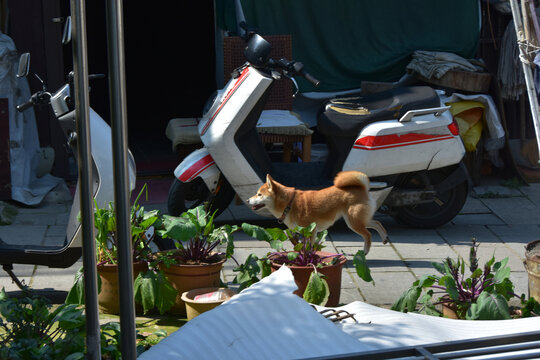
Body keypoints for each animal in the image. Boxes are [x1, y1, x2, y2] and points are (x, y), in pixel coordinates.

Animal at [247, 171, 386, 253]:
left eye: (259, 194)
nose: (248, 200)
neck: (289, 204)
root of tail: (362, 188)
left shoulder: (311, 230)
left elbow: (309, 246)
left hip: (353, 222)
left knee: (368, 235)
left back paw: (365, 251)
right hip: (357, 220)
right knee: (377, 223)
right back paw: (384, 238)